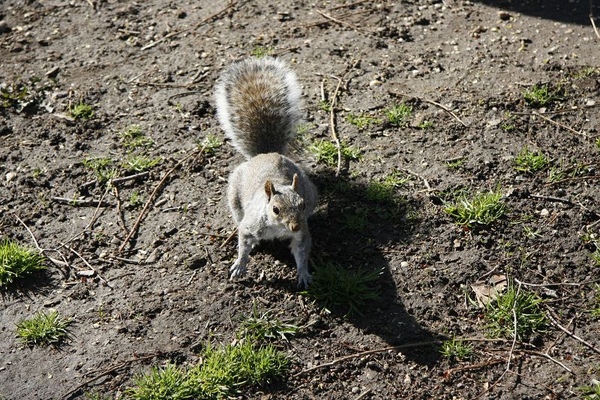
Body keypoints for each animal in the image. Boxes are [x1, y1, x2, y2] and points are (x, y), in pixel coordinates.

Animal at [216, 56, 318, 288]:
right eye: (275, 209)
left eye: (302, 204)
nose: (295, 225)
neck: (278, 229)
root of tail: (265, 153)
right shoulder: (250, 225)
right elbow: (244, 242)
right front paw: (240, 265)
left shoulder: (302, 234)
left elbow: (302, 251)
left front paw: (304, 274)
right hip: (235, 199)